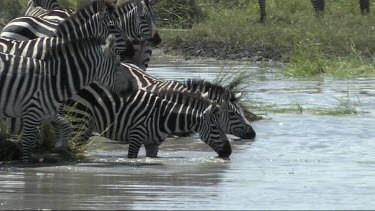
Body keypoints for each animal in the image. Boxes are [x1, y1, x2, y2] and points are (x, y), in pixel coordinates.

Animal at [64, 81, 232, 157]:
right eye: (215, 128)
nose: (229, 152)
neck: (164, 116)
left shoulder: (153, 144)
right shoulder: (135, 136)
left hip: (86, 125)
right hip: (78, 116)